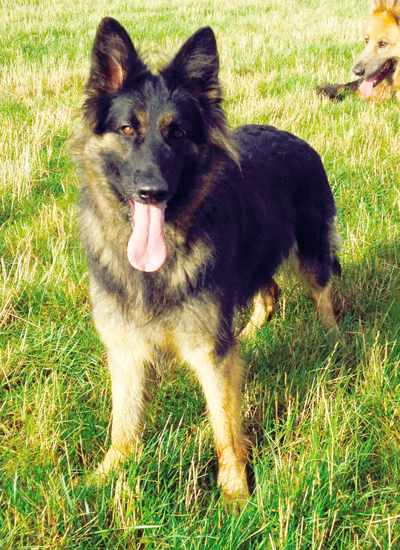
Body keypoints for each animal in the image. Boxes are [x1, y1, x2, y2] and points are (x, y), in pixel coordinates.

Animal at [73, 17, 341, 501]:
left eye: (177, 133)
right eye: (127, 130)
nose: (152, 192)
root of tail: (293, 137)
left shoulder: (211, 355)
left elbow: (224, 426)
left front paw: (235, 494)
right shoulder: (127, 350)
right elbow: (124, 424)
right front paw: (107, 478)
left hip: (310, 253)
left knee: (322, 294)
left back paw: (333, 339)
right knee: (269, 292)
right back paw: (252, 331)